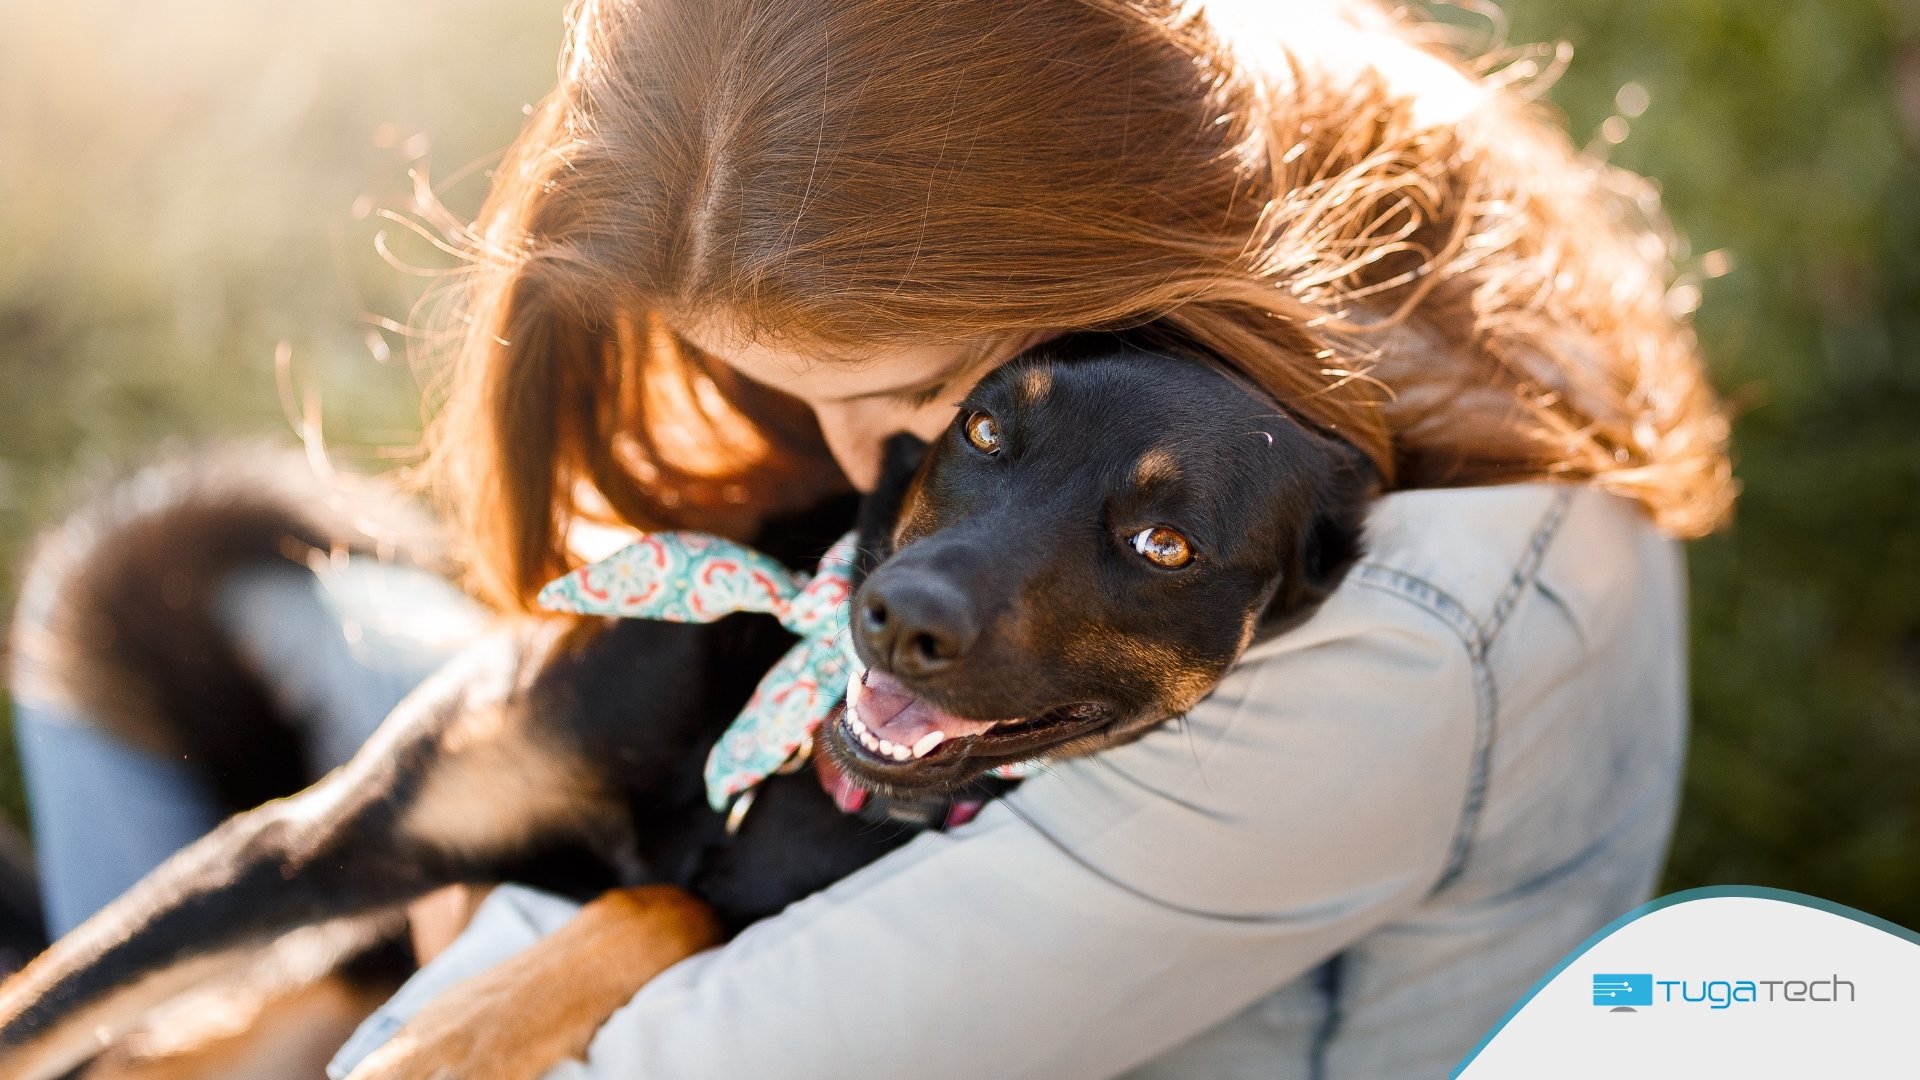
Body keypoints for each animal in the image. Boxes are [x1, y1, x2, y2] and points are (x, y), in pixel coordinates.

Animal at [0, 330, 1382, 1076]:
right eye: (985, 430)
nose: (897, 617)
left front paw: (460, 1030)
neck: (778, 741)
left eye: (1164, 544)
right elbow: (41, 1010)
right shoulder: (315, 844)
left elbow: (666, 903)